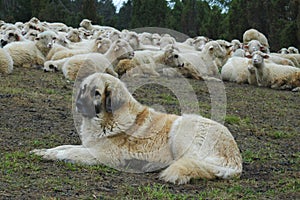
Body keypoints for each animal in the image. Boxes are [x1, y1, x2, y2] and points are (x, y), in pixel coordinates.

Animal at [31, 72, 243, 184]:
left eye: (96, 93)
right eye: (83, 89)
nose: (78, 104)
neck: (108, 120)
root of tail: (236, 162)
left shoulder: (101, 154)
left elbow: (67, 153)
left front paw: (50, 155)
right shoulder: (91, 146)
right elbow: (63, 147)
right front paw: (42, 151)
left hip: (182, 127)